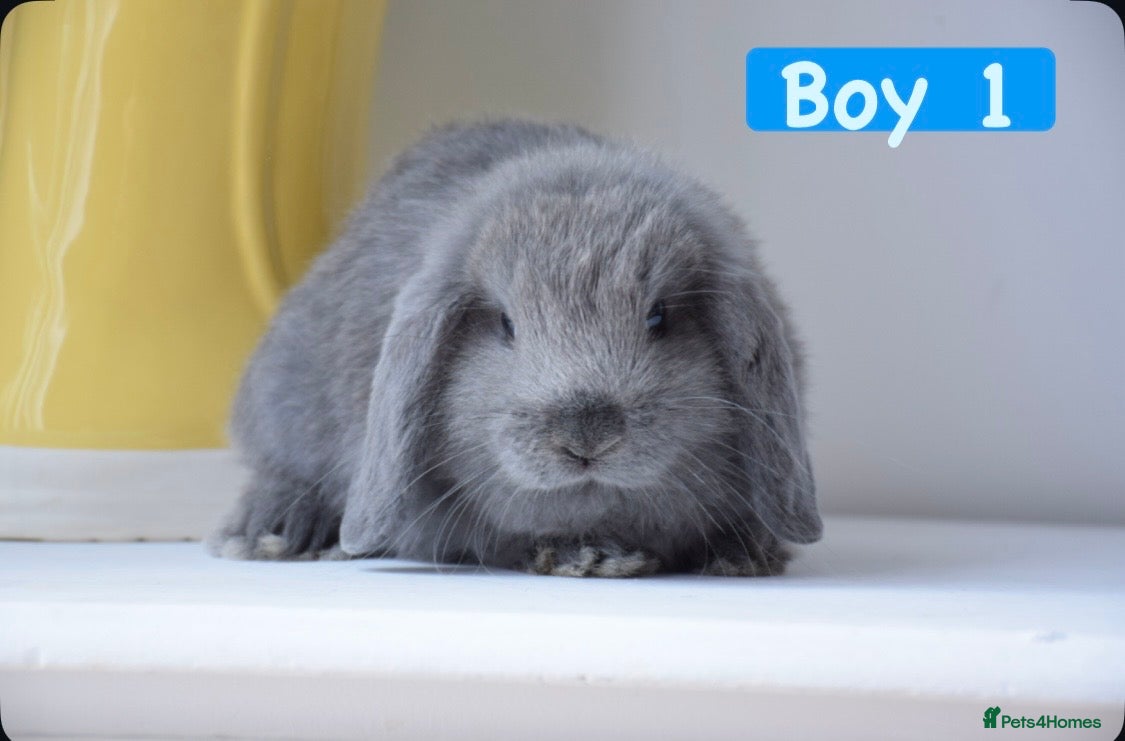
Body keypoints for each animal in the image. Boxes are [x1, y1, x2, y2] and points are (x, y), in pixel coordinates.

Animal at [208, 119, 822, 577]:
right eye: (505, 323)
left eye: (659, 316)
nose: (586, 431)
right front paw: (588, 556)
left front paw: (745, 552)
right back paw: (275, 533)